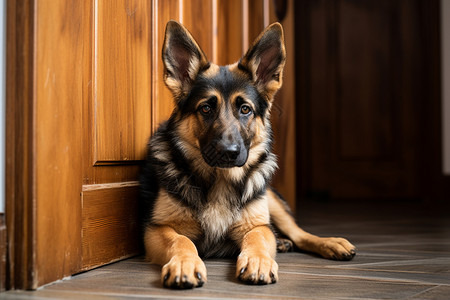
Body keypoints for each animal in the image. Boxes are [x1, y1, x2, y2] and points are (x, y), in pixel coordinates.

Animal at [141, 20, 356, 288]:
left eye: (245, 109)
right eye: (206, 108)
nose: (228, 153)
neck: (220, 180)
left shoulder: (256, 225)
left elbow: (258, 238)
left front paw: (259, 261)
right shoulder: (158, 229)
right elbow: (181, 240)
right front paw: (184, 263)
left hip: (270, 200)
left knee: (298, 233)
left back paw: (328, 243)